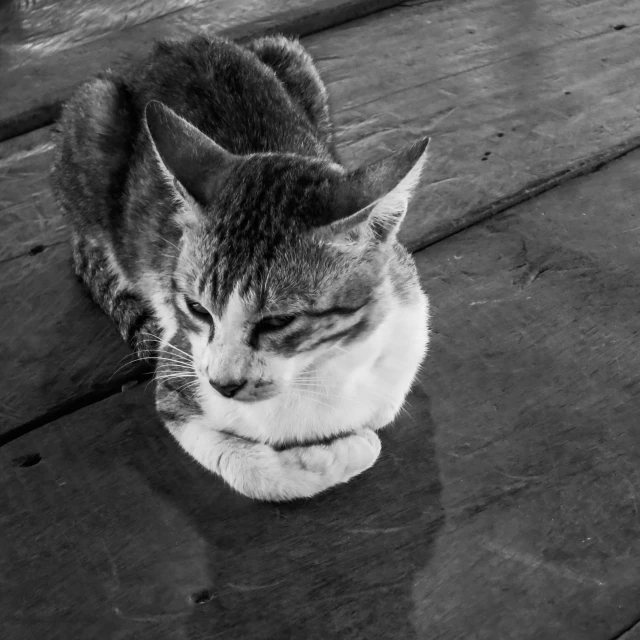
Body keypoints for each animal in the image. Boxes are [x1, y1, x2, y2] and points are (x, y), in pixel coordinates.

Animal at [50, 35, 430, 502]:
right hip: (93, 113)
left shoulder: (407, 320)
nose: (223, 384)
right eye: (197, 309)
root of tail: (173, 45)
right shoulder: (177, 374)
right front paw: (339, 455)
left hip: (292, 58)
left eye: (278, 321)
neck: (312, 376)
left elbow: (383, 406)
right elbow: (242, 465)